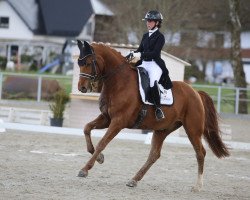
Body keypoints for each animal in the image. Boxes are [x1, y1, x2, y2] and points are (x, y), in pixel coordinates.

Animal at [76, 39, 230, 191]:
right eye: (79, 63)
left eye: (88, 63)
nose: (81, 88)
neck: (119, 82)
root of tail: (196, 92)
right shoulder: (107, 118)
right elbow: (86, 128)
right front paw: (99, 157)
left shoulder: (118, 121)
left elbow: (102, 143)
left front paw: (85, 169)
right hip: (162, 129)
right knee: (154, 155)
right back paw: (134, 180)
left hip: (193, 129)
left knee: (200, 152)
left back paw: (198, 185)